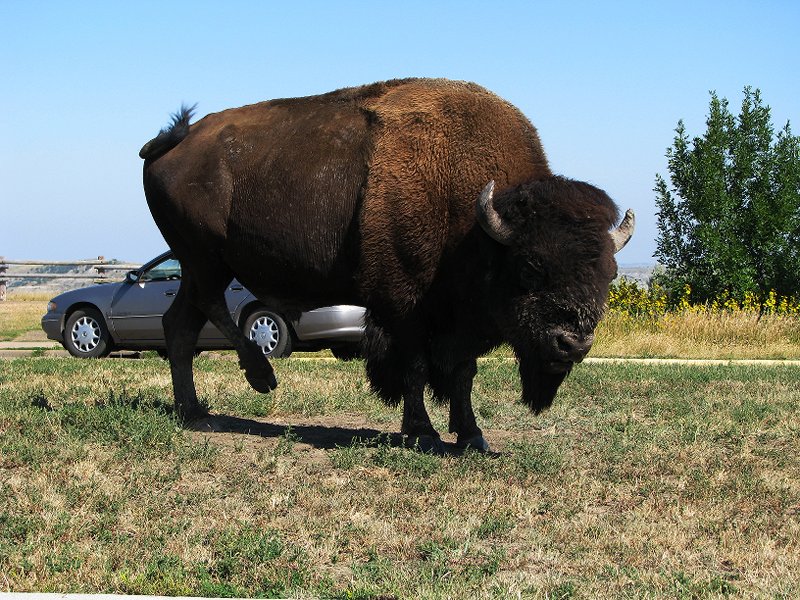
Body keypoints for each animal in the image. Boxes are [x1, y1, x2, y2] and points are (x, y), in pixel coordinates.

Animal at [140, 78, 634, 452]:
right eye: (530, 267)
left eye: (609, 276)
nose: (573, 343)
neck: (473, 221)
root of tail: (175, 139)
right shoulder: (404, 304)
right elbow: (414, 368)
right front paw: (423, 433)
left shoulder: (462, 319)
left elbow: (463, 373)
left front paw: (472, 437)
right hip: (205, 257)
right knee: (207, 308)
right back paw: (260, 377)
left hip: (200, 264)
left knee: (179, 325)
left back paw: (194, 412)